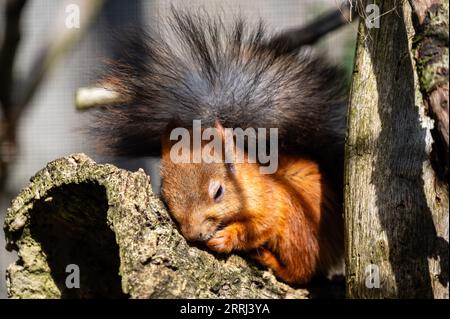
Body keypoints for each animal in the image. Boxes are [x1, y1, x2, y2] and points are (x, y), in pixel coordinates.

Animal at [90, 9, 344, 284]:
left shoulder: (271, 199)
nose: (194, 234)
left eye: (219, 192)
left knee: (301, 271)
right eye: (165, 194)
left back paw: (270, 260)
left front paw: (226, 238)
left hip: (300, 226)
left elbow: (262, 225)